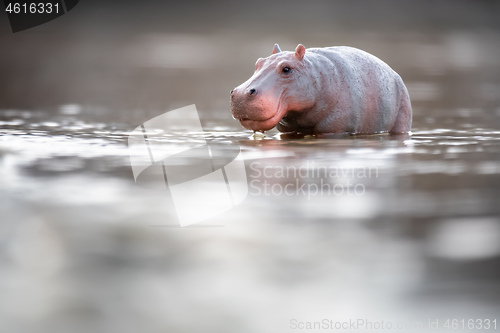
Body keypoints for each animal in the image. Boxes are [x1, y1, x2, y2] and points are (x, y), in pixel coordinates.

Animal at [229, 43, 410, 134]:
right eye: (258, 62)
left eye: (286, 68)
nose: (241, 93)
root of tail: (395, 74)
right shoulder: (287, 130)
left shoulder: (336, 129)